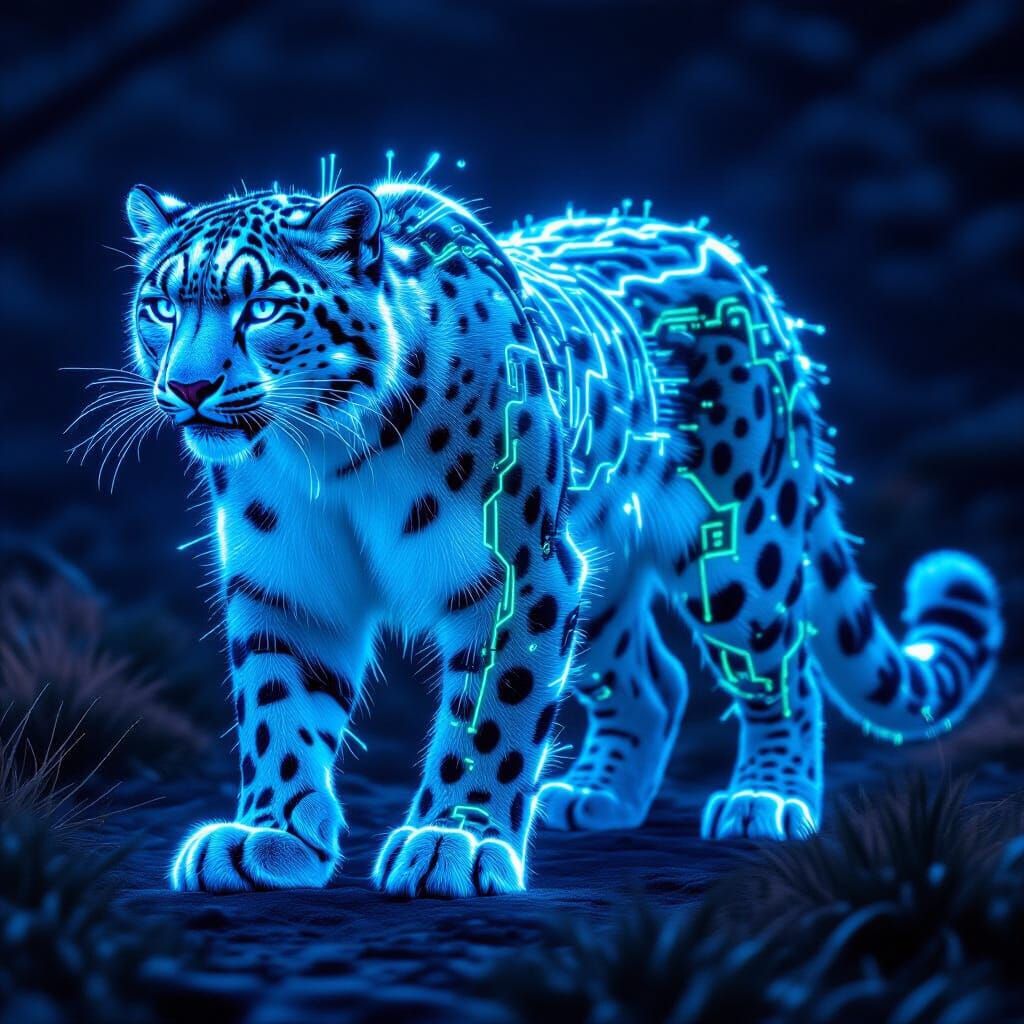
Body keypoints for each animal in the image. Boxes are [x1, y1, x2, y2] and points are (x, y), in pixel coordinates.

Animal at [110, 177, 1001, 896]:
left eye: (262, 306)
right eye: (162, 306)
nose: (188, 386)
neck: (324, 457)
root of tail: (742, 265)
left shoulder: (516, 571)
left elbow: (493, 714)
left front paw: (453, 842)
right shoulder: (286, 580)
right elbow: (279, 707)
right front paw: (270, 836)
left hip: (738, 547)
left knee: (782, 667)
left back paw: (767, 798)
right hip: (598, 568)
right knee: (653, 679)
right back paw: (596, 796)